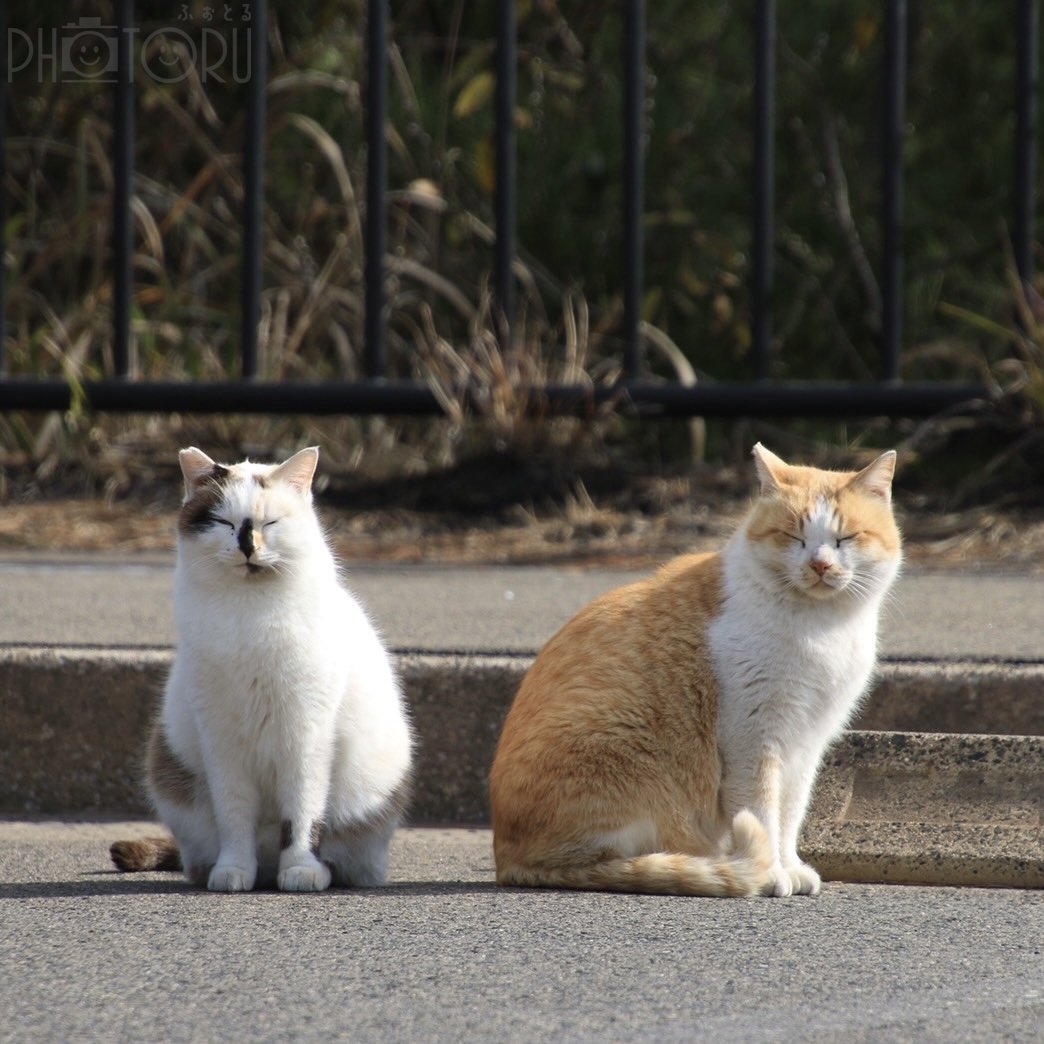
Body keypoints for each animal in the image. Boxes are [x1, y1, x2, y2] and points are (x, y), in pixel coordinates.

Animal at [111, 444, 411, 893]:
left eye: (271, 522)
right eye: (223, 522)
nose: (247, 546)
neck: (249, 614)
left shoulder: (307, 736)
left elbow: (303, 814)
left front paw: (301, 868)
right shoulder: (221, 738)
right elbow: (234, 817)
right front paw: (233, 870)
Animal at [488, 442, 897, 897]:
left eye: (846, 538)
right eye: (794, 536)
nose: (820, 565)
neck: (822, 628)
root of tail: (510, 859)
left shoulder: (807, 744)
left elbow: (790, 815)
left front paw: (790, 867)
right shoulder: (754, 739)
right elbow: (763, 813)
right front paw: (772, 873)